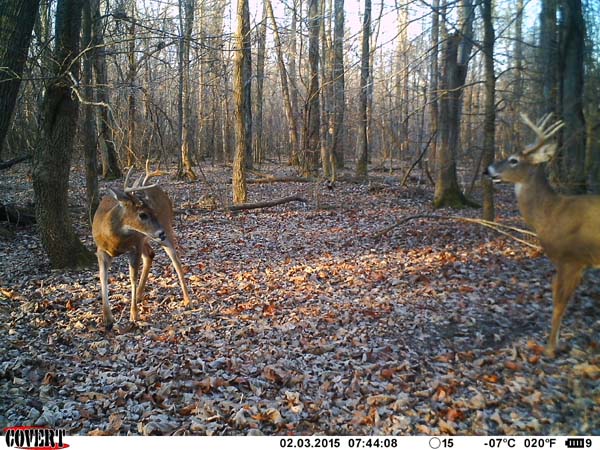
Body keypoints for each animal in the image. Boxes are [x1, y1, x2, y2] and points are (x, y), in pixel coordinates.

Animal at [91, 163, 192, 328]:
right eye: (142, 214)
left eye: (153, 211)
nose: (160, 232)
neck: (114, 239)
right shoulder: (100, 250)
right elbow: (102, 276)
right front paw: (107, 318)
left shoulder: (135, 246)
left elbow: (132, 277)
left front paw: (134, 314)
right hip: (147, 237)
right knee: (150, 254)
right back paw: (139, 295)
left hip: (165, 226)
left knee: (175, 259)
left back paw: (187, 300)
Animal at [488, 114, 600, 356]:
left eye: (513, 160)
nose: (487, 170)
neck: (551, 213)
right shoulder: (581, 264)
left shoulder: (571, 259)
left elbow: (558, 304)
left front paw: (549, 348)